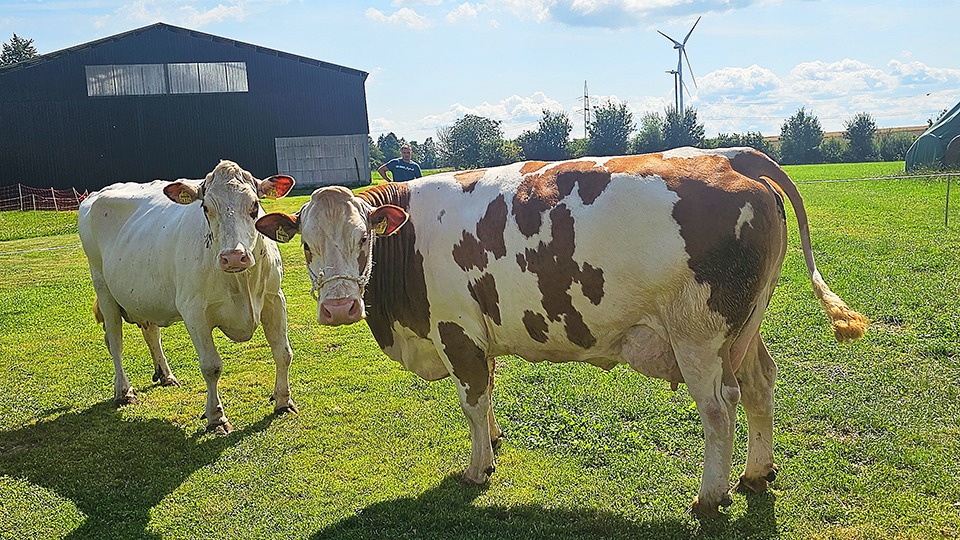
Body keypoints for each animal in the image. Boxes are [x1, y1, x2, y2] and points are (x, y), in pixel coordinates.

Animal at [79, 160, 296, 434]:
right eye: (205, 208)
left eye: (255, 205)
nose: (234, 257)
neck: (241, 282)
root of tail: (94, 195)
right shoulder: (194, 312)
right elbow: (211, 366)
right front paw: (216, 417)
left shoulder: (274, 298)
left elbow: (283, 353)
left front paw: (283, 401)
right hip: (103, 289)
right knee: (115, 342)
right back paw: (123, 391)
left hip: (144, 297)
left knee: (151, 334)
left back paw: (166, 375)